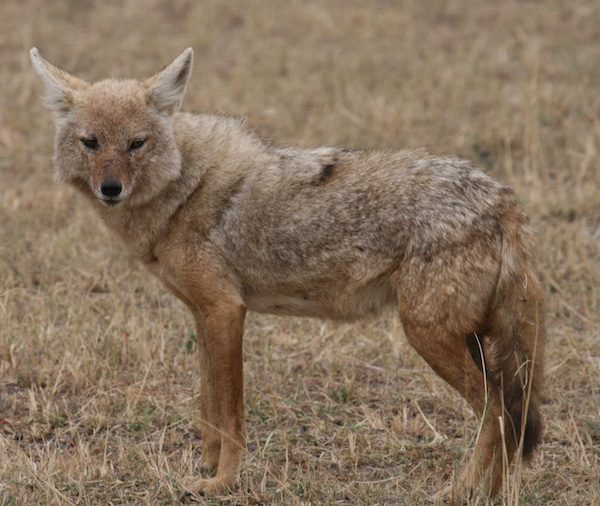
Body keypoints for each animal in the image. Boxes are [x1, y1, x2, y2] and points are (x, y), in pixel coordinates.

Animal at [31, 48, 544, 502]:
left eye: (136, 143)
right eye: (92, 143)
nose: (110, 188)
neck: (183, 187)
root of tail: (502, 198)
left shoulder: (226, 311)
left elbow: (231, 415)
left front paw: (222, 483)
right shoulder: (203, 314)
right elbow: (208, 406)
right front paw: (204, 468)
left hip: (427, 336)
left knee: (497, 411)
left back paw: (460, 491)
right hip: (465, 341)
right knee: (508, 415)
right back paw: (488, 493)